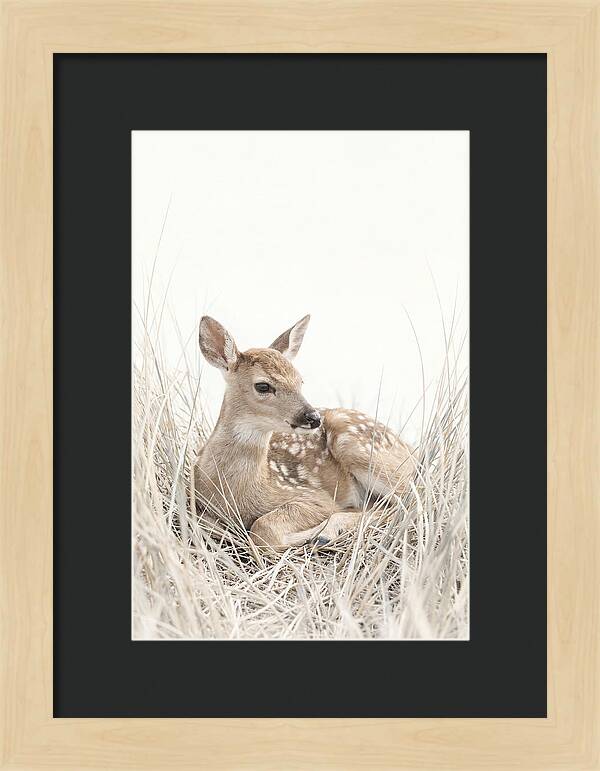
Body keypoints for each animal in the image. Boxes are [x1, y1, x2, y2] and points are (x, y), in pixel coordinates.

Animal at [194, 314, 416, 551]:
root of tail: (409, 449)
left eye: (300, 381)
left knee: (409, 500)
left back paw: (326, 533)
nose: (313, 417)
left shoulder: (313, 496)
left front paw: (312, 534)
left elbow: (263, 529)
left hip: (358, 446)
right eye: (263, 386)